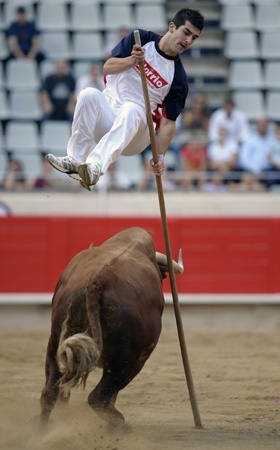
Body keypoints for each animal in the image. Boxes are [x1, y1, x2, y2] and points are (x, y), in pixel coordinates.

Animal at [40, 227, 184, 428]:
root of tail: (99, 279)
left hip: (55, 340)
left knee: (50, 390)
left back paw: (43, 429)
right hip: (130, 360)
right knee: (99, 396)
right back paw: (119, 426)